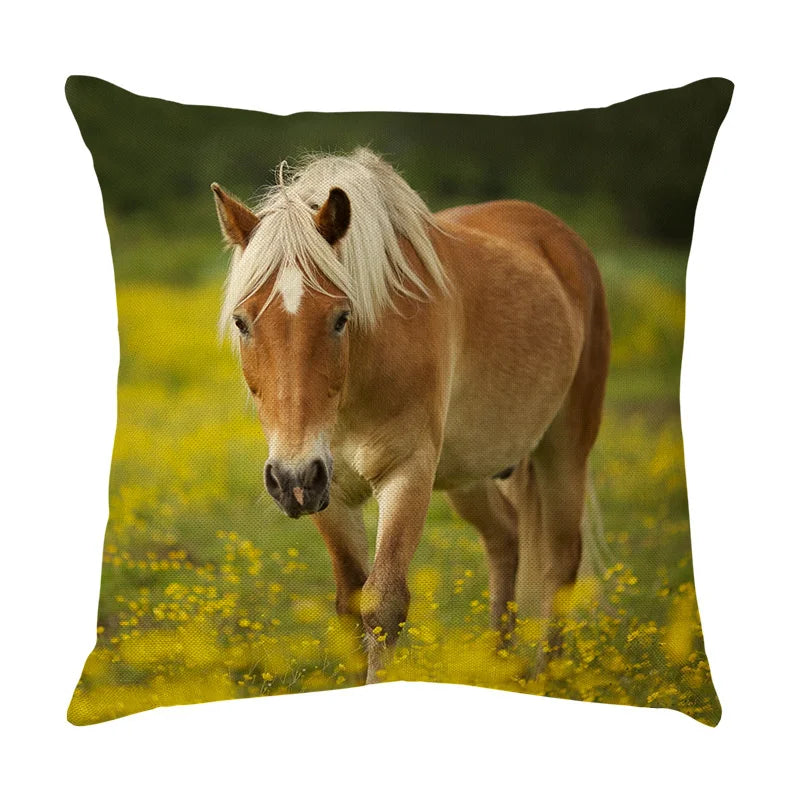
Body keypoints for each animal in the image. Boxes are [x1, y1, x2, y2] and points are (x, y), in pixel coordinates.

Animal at [212, 148, 610, 682]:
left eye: (341, 317)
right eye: (242, 321)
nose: (292, 478)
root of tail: (562, 239)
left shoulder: (407, 472)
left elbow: (383, 603)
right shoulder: (329, 492)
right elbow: (350, 602)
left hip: (564, 448)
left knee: (561, 564)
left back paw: (550, 678)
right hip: (470, 471)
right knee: (505, 538)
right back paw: (498, 666)